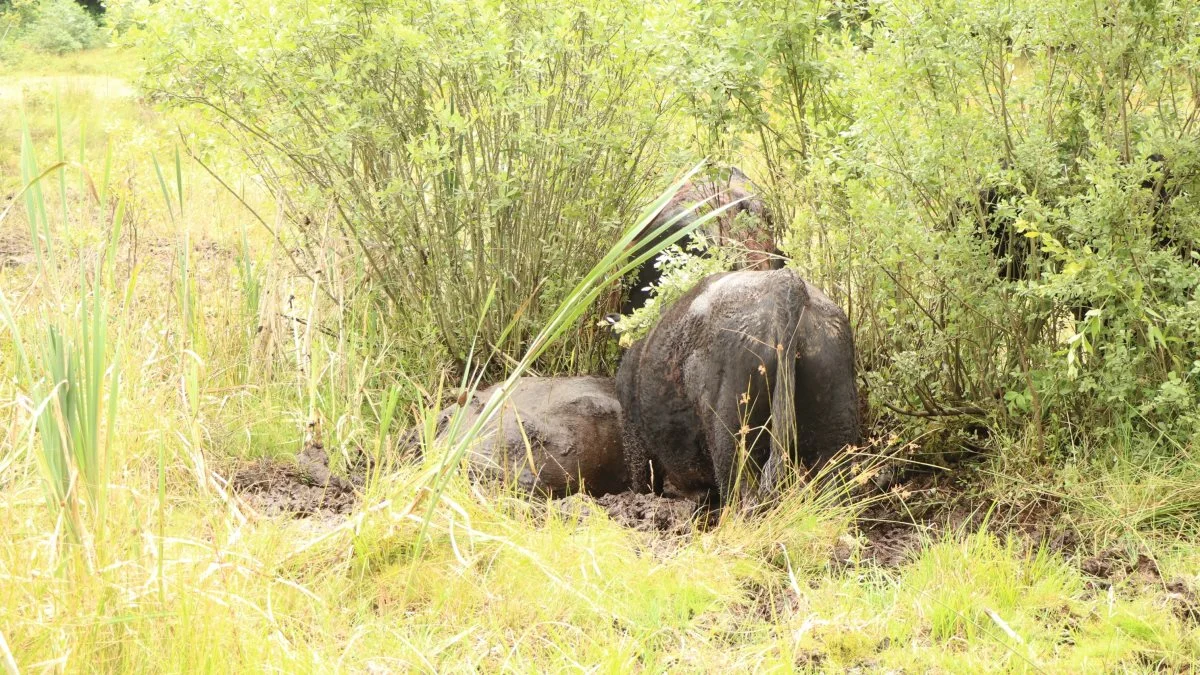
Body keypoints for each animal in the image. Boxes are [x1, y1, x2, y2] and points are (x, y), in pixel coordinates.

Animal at [614, 266, 859, 504]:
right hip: (834, 434)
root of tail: (786, 283)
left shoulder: (636, 441)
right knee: (834, 492)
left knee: (742, 496)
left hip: (733, 442)